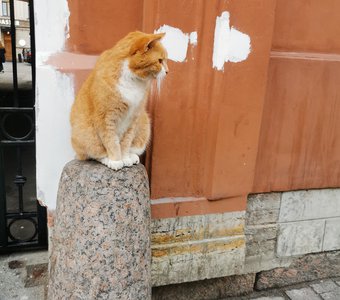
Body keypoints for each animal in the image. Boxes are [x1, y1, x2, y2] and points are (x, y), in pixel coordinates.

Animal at [70, 31, 169, 171]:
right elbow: (111, 141)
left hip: (145, 123)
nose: (167, 71)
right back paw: (106, 159)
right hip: (85, 135)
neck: (133, 81)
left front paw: (125, 158)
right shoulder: (106, 118)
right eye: (160, 61)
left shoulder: (134, 117)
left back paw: (132, 157)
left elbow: (126, 141)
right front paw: (116, 160)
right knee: (93, 154)